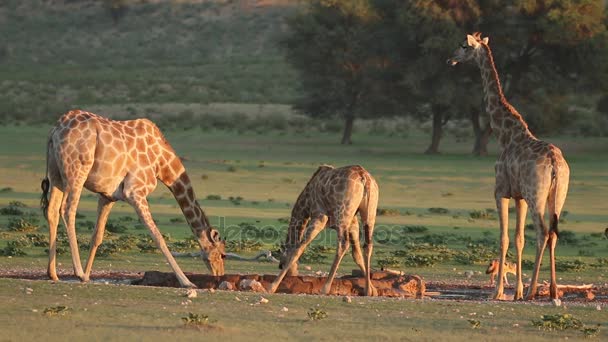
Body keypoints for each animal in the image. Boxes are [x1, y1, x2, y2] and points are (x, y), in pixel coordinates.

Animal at [40, 109, 227, 286]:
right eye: (223, 254)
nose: (219, 276)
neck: (162, 164)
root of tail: (55, 130)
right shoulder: (136, 191)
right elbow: (158, 236)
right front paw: (186, 281)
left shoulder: (108, 196)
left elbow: (97, 236)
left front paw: (87, 276)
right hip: (77, 169)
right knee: (67, 209)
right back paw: (76, 271)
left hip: (56, 173)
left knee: (52, 210)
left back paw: (53, 274)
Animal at [268, 164, 378, 296]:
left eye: (282, 262)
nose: (292, 274)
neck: (306, 201)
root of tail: (364, 177)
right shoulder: (353, 222)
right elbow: (357, 255)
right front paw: (372, 290)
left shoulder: (319, 217)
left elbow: (299, 248)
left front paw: (272, 287)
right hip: (370, 213)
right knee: (368, 245)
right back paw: (367, 290)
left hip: (342, 214)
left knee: (343, 244)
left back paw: (325, 288)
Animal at [446, 34, 568, 302]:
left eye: (463, 46)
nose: (451, 59)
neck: (505, 135)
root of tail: (556, 164)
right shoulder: (519, 196)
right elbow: (518, 238)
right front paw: (516, 291)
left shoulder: (500, 191)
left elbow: (503, 238)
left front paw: (499, 292)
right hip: (557, 195)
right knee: (554, 233)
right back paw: (553, 290)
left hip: (536, 195)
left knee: (543, 232)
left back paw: (533, 291)